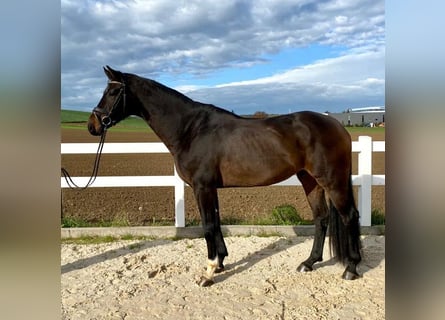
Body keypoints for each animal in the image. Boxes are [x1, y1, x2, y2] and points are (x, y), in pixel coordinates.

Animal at [87, 65, 360, 284]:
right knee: (321, 218)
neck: (191, 129)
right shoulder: (209, 188)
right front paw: (219, 264)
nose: (93, 125)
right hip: (310, 180)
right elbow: (216, 223)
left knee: (349, 216)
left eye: (113, 92)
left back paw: (351, 268)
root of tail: (338, 125)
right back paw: (309, 262)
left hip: (332, 180)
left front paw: (207, 273)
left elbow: (208, 225)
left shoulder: (202, 187)